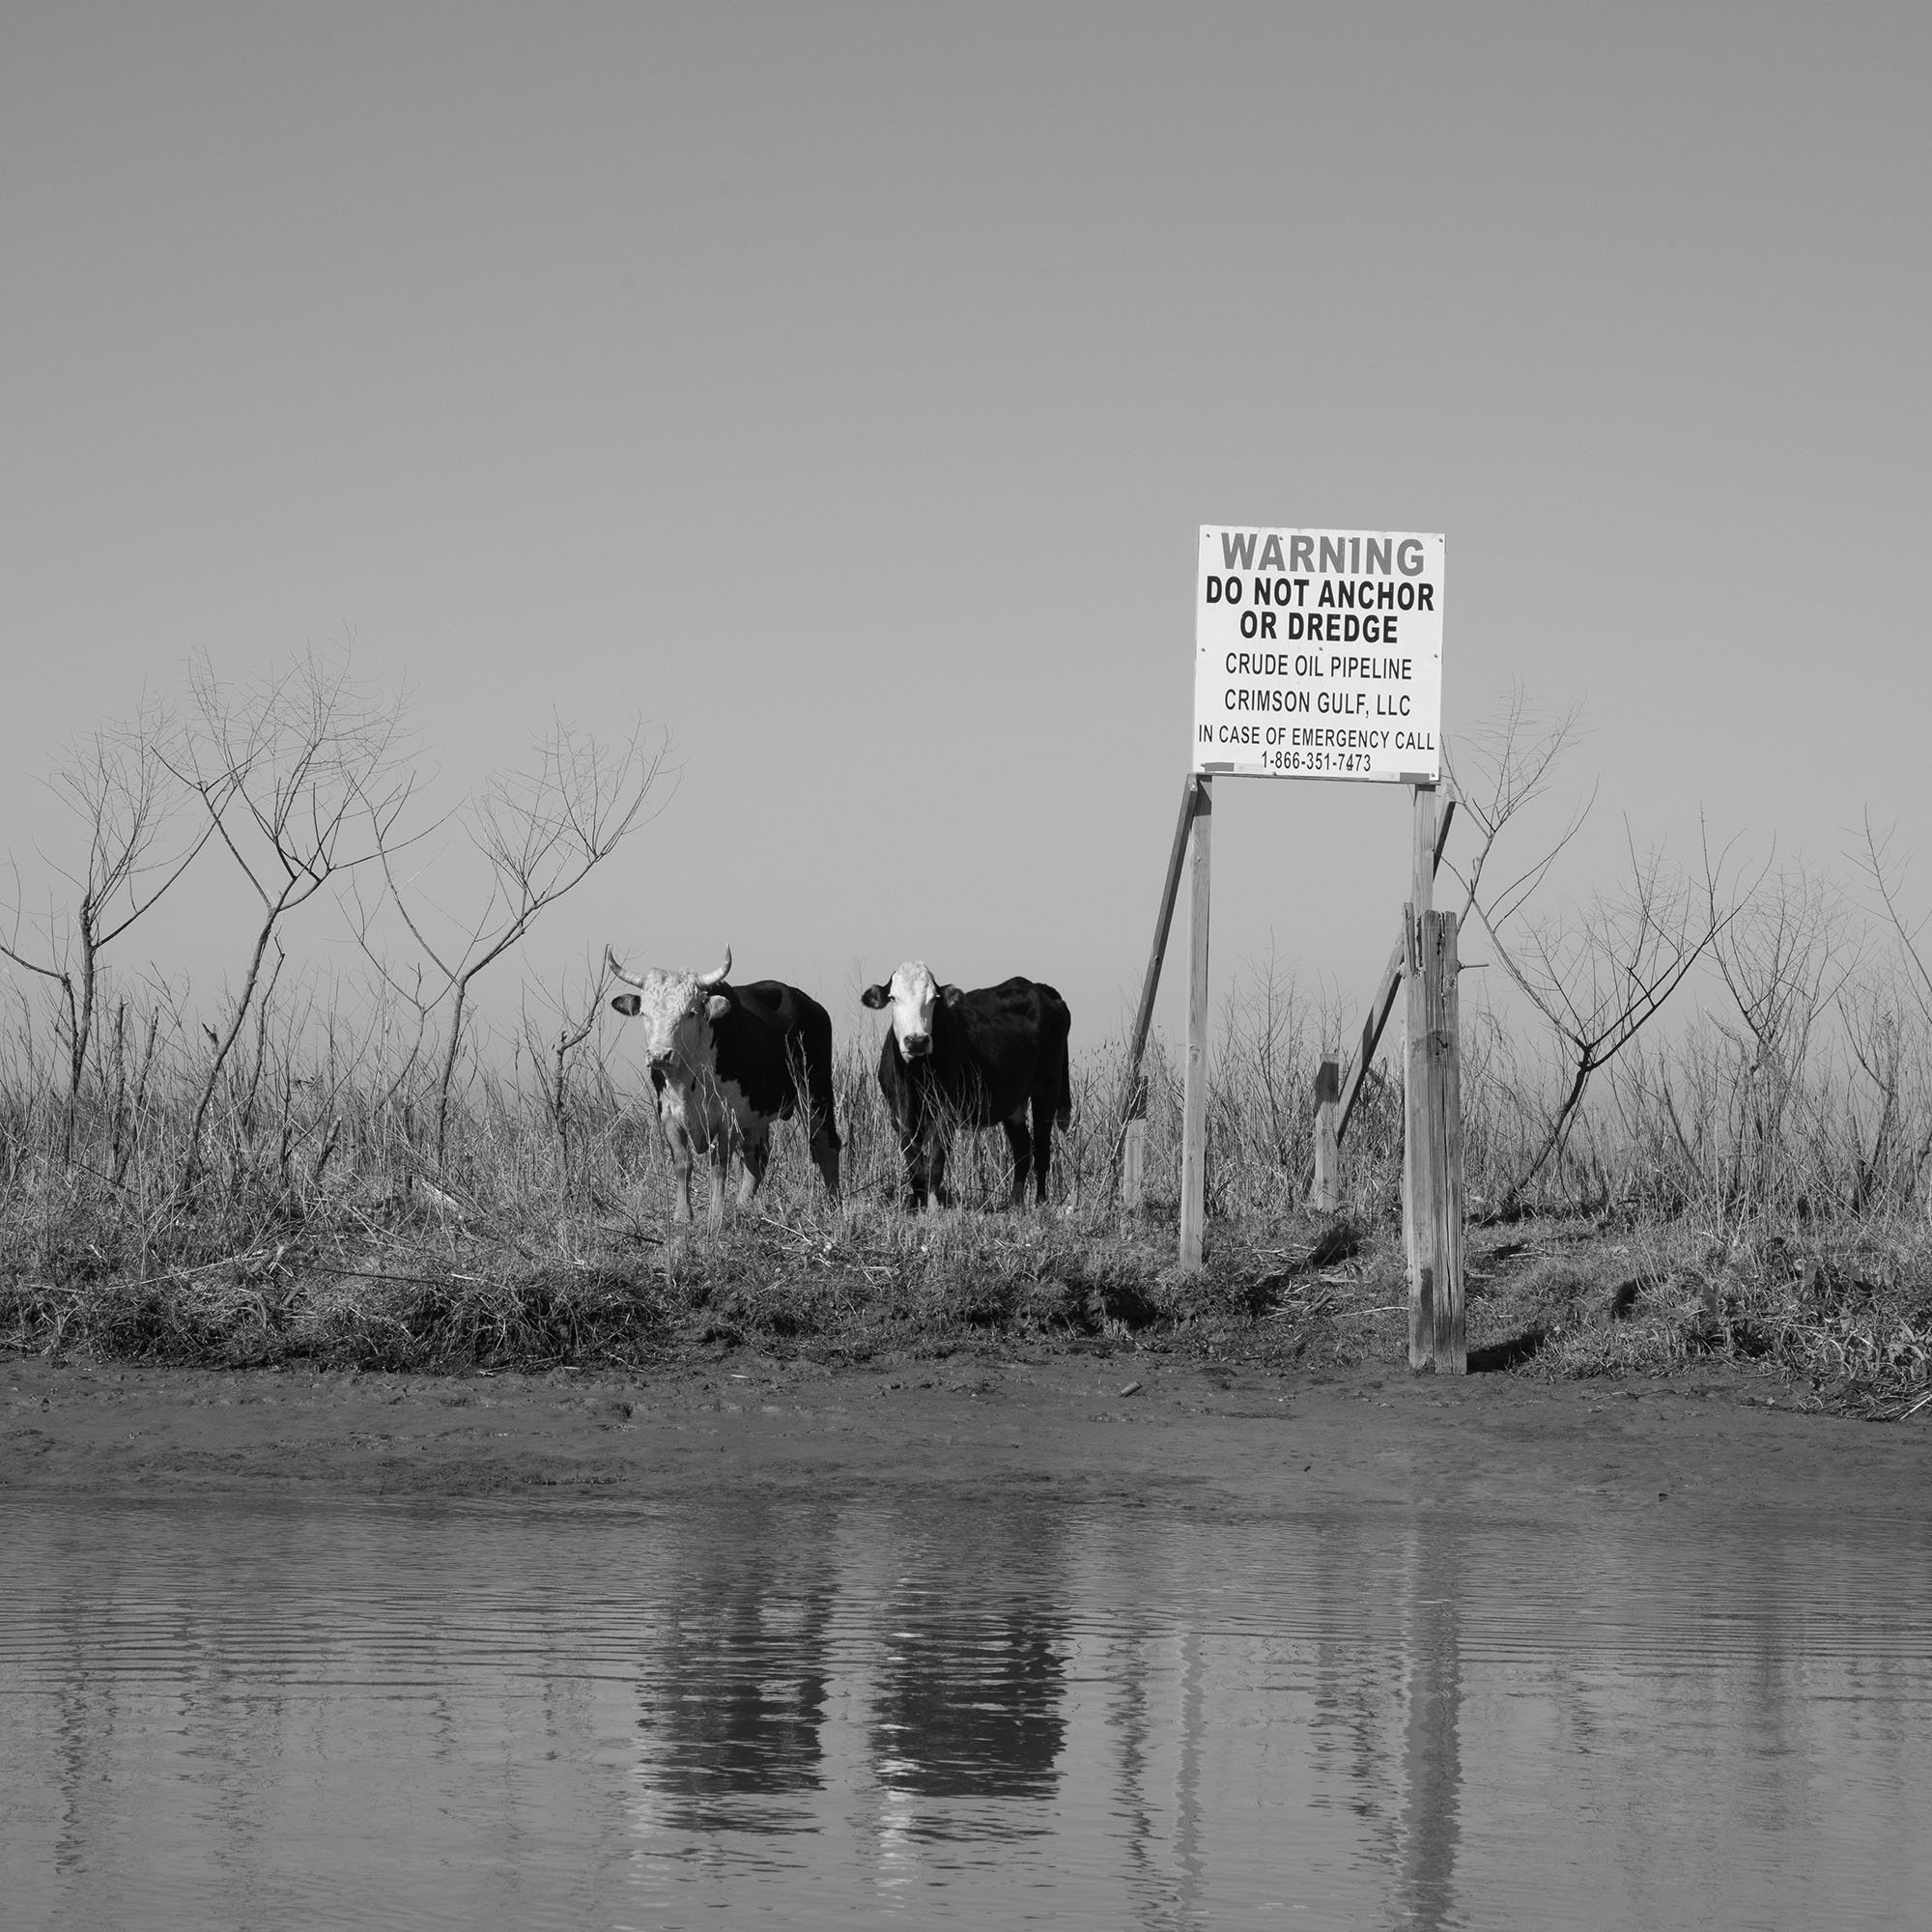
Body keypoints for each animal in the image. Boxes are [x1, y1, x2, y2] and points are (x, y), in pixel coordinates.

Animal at [607, 947, 842, 1229]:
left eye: (690, 1012)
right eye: (645, 1013)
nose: (660, 1055)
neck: (687, 1078)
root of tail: (808, 1003)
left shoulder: (727, 1118)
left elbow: (719, 1165)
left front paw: (716, 1215)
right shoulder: (668, 1115)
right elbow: (682, 1163)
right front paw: (682, 1215)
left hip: (815, 1090)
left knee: (825, 1144)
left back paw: (833, 1206)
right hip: (757, 1112)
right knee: (756, 1157)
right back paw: (742, 1207)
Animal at [862, 962, 1074, 1213]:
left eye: (934, 999)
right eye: (893, 997)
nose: (917, 1040)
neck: (915, 1076)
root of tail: (1039, 987)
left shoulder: (946, 1112)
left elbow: (936, 1158)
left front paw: (933, 1206)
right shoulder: (899, 1115)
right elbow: (913, 1158)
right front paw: (919, 1202)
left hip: (1047, 1090)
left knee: (1042, 1147)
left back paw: (1040, 1202)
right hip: (1013, 1101)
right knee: (1022, 1148)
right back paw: (1015, 1203)